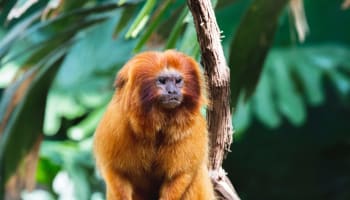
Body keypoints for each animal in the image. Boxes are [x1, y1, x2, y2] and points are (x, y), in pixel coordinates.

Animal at [93, 50, 216, 200]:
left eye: (178, 81)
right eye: (162, 81)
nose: (172, 91)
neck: (156, 122)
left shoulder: (193, 128)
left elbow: (181, 174)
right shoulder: (116, 123)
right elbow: (116, 171)